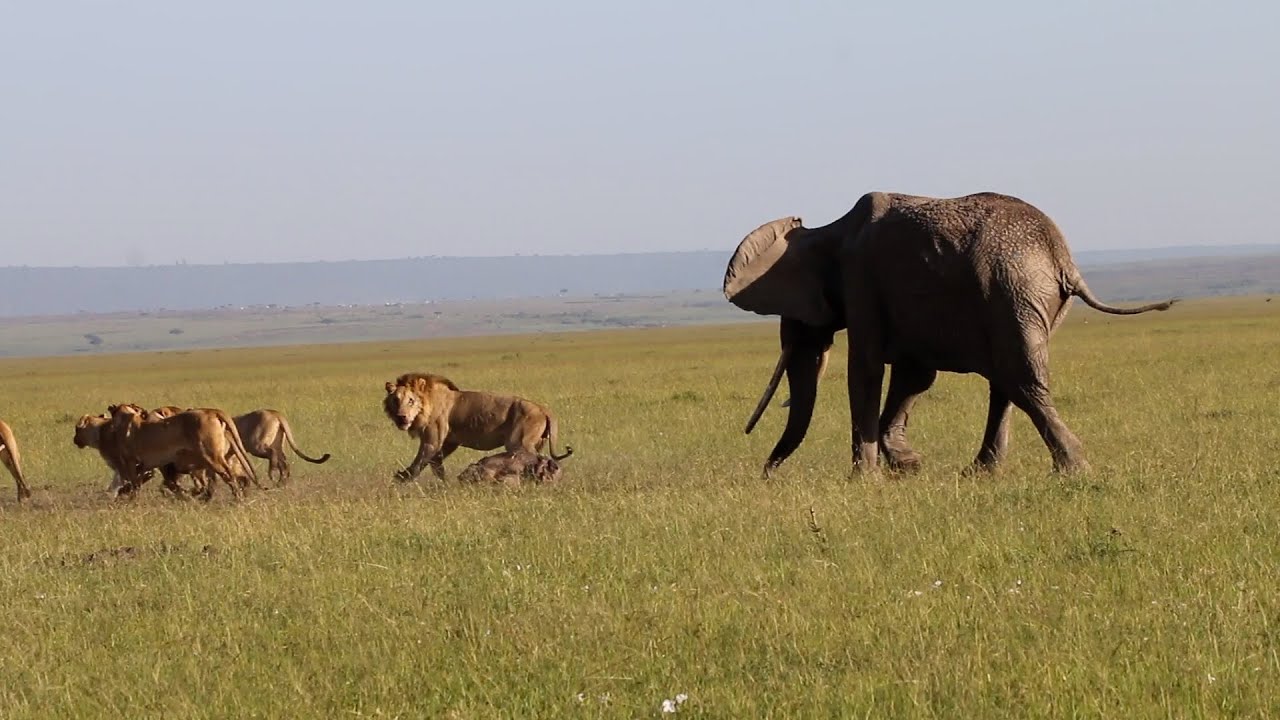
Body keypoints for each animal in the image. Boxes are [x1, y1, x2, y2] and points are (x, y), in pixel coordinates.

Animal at [722, 191, 1176, 475]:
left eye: (796, 317)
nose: (767, 474)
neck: (827, 230)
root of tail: (1062, 257)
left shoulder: (862, 282)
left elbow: (865, 370)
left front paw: (866, 480)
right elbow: (914, 376)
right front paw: (907, 466)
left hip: (1012, 288)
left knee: (1021, 381)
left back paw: (1073, 471)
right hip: (1028, 300)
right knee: (1007, 382)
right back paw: (981, 473)